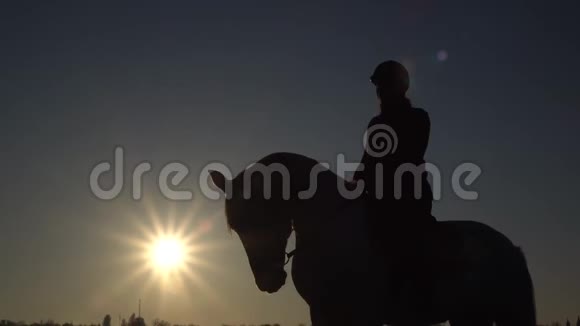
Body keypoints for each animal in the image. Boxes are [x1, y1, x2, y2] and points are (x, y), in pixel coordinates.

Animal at [208, 153, 536, 326]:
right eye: (237, 228)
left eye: (263, 214)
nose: (268, 281)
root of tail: (508, 246)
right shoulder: (322, 312)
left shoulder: (364, 313)